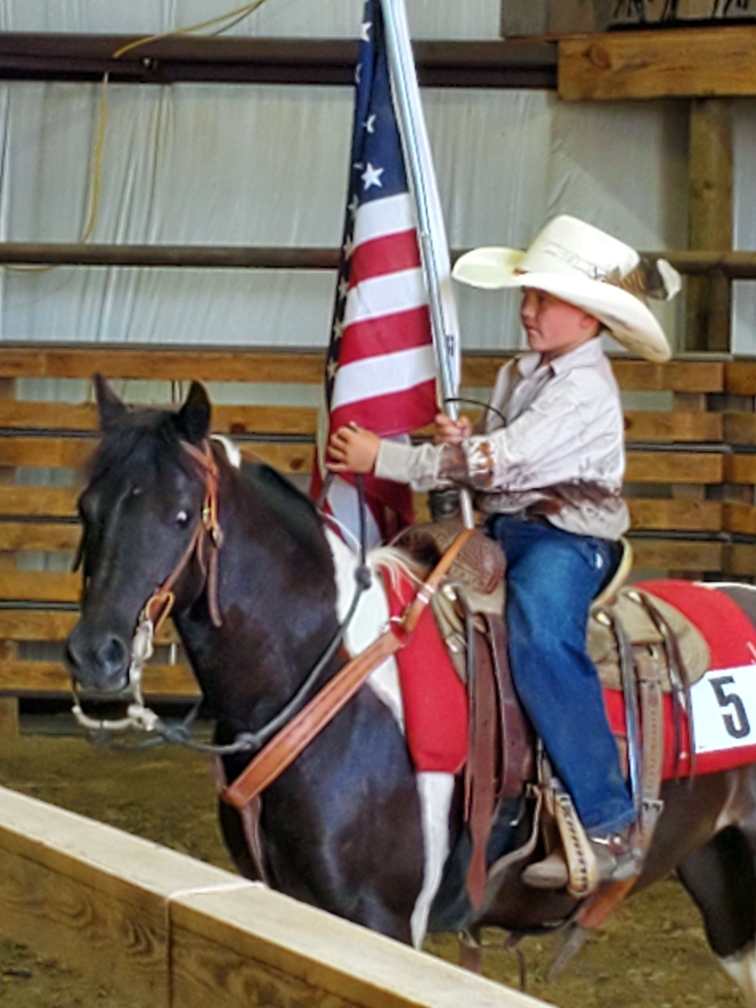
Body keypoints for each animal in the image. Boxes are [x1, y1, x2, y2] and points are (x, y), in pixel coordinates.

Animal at [65, 376, 756, 1004]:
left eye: (180, 515)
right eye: (86, 510)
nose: (95, 654)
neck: (318, 673)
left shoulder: (381, 921)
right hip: (723, 888)